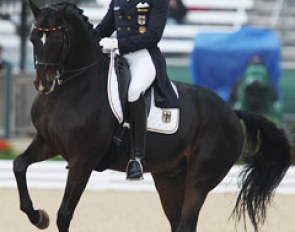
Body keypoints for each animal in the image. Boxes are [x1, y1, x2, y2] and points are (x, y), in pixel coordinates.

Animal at [12, 0, 292, 231]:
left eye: (57, 41)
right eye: (33, 38)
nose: (43, 84)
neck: (72, 89)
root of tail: (231, 112)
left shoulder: (83, 159)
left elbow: (64, 214)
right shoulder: (48, 142)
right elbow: (19, 165)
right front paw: (38, 216)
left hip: (200, 179)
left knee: (186, 222)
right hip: (169, 177)